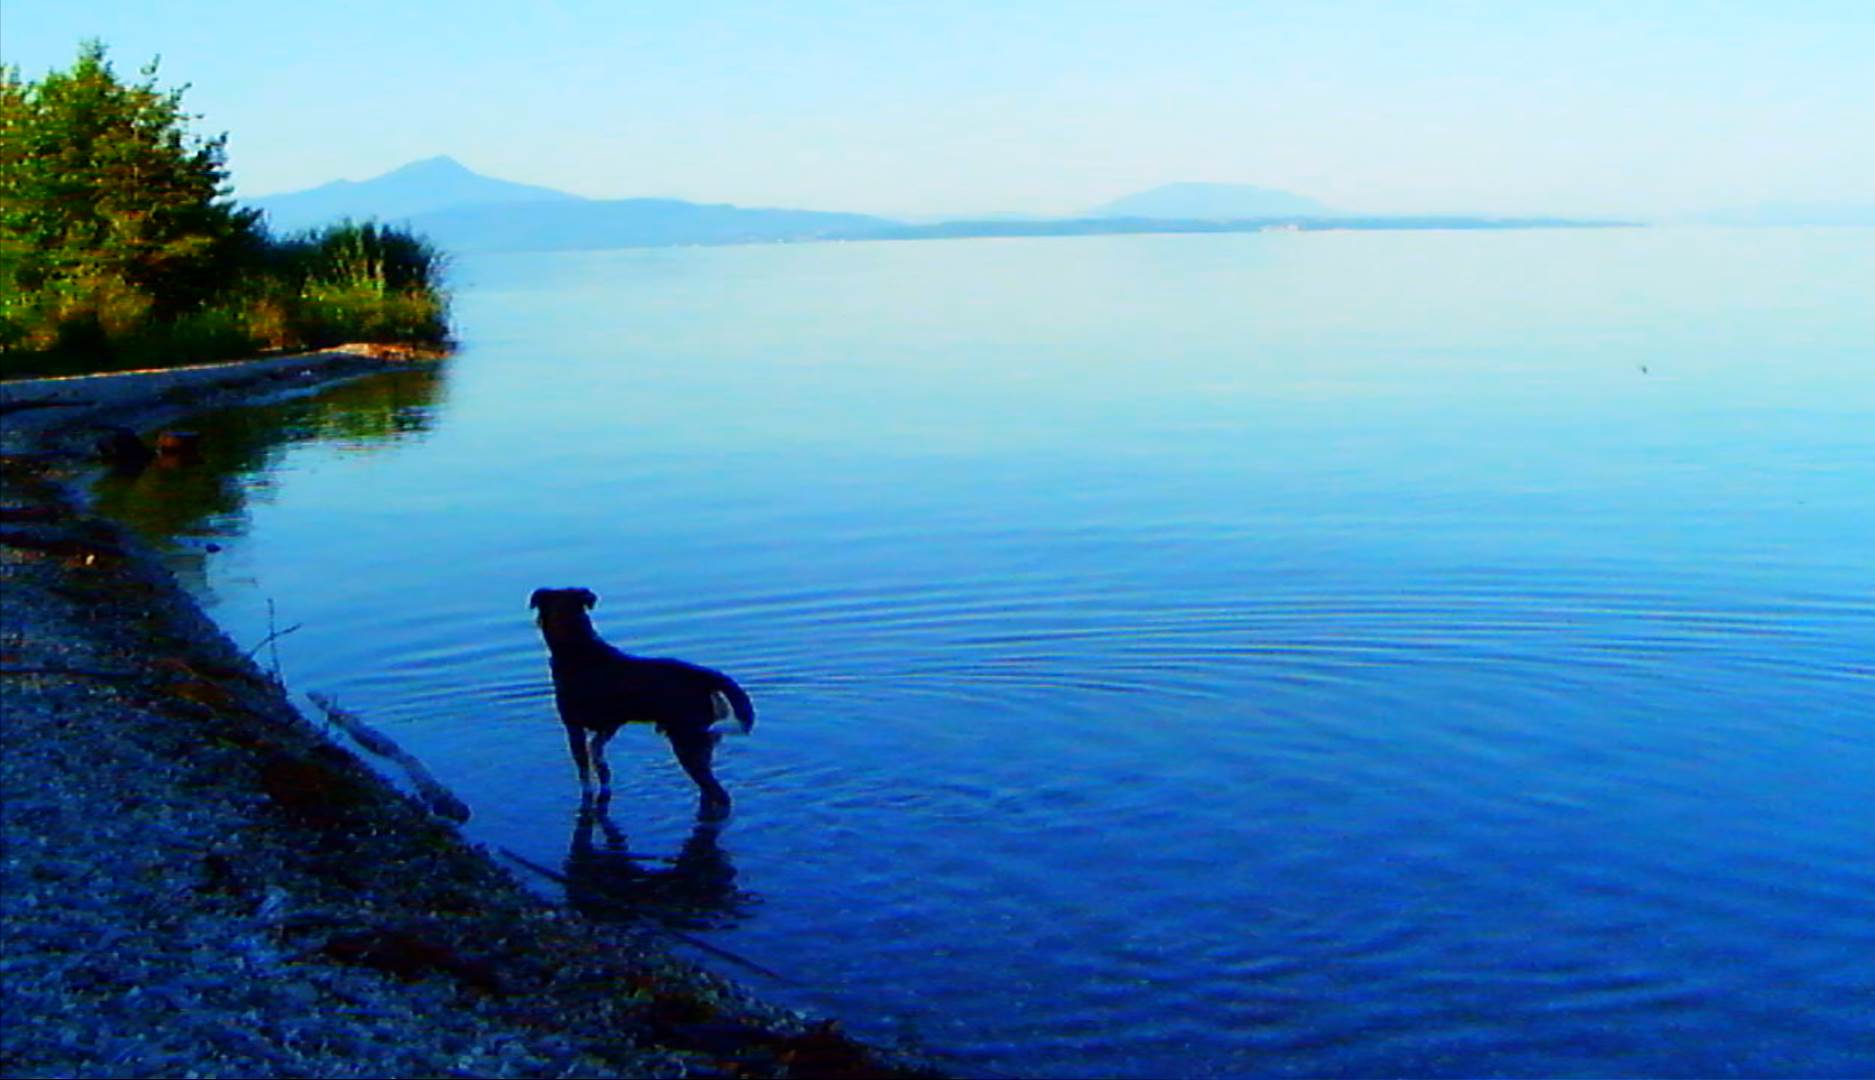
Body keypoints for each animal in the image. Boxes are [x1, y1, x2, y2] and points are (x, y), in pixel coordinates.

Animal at [528, 585, 753, 813]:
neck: (577, 647)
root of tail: (706, 677)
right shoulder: (609, 725)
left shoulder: (573, 727)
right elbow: (599, 758)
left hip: (687, 742)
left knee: (718, 793)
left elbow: (584, 775)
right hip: (699, 739)